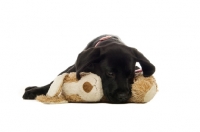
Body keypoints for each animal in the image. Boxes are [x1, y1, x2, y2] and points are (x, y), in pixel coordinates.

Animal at [22, 34, 155, 103]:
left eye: (130, 75)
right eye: (110, 73)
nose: (123, 97)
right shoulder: (75, 67)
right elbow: (52, 83)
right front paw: (33, 92)